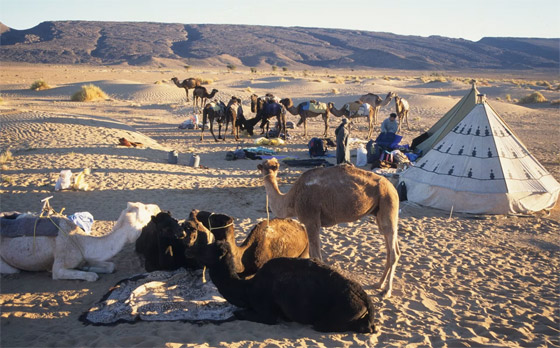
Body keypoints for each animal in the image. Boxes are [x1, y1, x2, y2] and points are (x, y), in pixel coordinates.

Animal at [0, 201, 162, 280]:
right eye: (145, 209)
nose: (157, 207)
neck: (81, 241)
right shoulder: (60, 263)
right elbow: (92, 277)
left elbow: (110, 266)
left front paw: (84, 267)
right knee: (14, 270)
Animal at [191, 239, 376, 334]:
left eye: (208, 249)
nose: (190, 250)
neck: (248, 289)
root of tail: (365, 299)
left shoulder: (267, 312)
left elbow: (243, 314)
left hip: (340, 313)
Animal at [258, 159, 402, 298]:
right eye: (265, 166)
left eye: (271, 166)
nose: (270, 167)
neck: (291, 199)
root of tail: (393, 188)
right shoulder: (312, 222)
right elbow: (313, 255)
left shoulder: (311, 220)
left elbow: (316, 257)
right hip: (380, 213)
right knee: (390, 249)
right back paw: (379, 284)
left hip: (388, 203)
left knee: (394, 251)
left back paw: (387, 291)